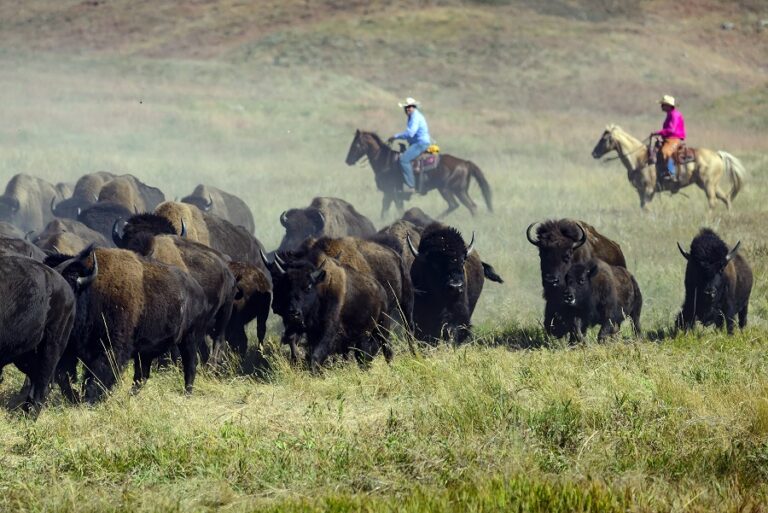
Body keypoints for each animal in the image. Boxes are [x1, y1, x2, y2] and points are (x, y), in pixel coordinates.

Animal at [48, 246, 210, 402]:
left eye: (69, 291)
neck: (91, 292)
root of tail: (199, 291)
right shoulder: (71, 349)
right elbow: (64, 376)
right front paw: (75, 397)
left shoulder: (111, 348)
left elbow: (98, 375)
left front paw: (89, 400)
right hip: (146, 351)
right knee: (142, 376)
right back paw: (129, 398)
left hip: (189, 339)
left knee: (190, 366)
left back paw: (187, 395)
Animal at [346, 129, 496, 219]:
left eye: (356, 144)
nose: (348, 160)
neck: (386, 161)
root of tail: (465, 163)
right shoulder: (389, 194)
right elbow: (385, 210)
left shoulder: (394, 194)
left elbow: (396, 210)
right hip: (460, 191)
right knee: (470, 206)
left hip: (448, 190)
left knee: (457, 205)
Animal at [588, 124, 744, 210]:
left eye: (604, 139)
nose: (594, 153)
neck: (640, 158)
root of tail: (718, 155)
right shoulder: (640, 190)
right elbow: (643, 207)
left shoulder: (649, 189)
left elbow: (646, 208)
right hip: (709, 184)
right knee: (726, 198)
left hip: (708, 184)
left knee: (713, 202)